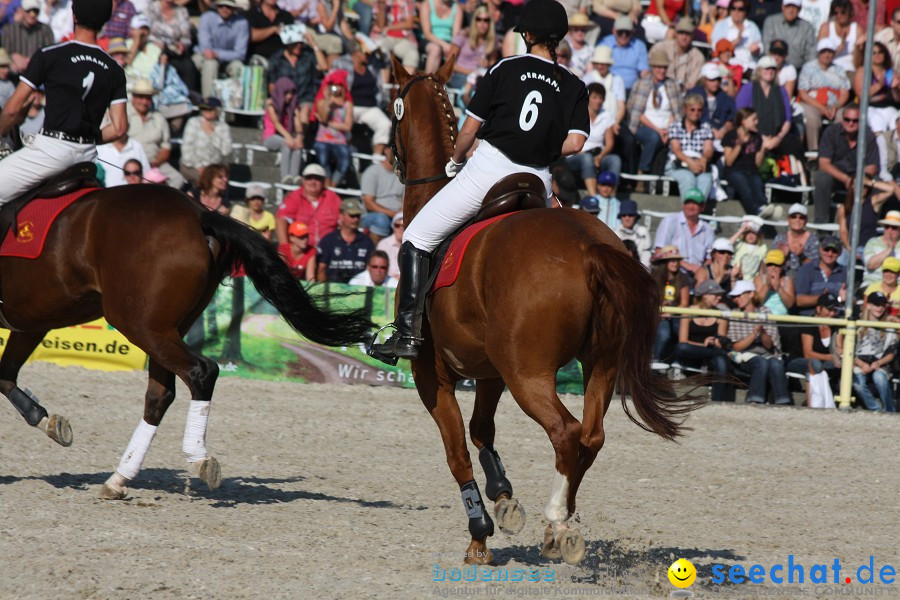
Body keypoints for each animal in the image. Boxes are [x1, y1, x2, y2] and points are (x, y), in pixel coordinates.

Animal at [0, 185, 372, 500]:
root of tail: (198, 213)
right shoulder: (31, 321)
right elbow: (6, 376)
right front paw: (46, 420)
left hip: (141, 325)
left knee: (200, 372)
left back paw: (197, 457)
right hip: (164, 328)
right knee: (161, 394)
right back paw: (119, 477)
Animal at [390, 55, 700, 564]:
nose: (391, 159)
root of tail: (589, 248)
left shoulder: (431, 376)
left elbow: (457, 449)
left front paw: (480, 533)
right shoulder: (490, 373)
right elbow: (481, 432)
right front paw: (503, 498)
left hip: (529, 375)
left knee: (566, 431)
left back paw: (557, 523)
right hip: (599, 365)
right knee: (590, 436)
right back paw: (561, 525)